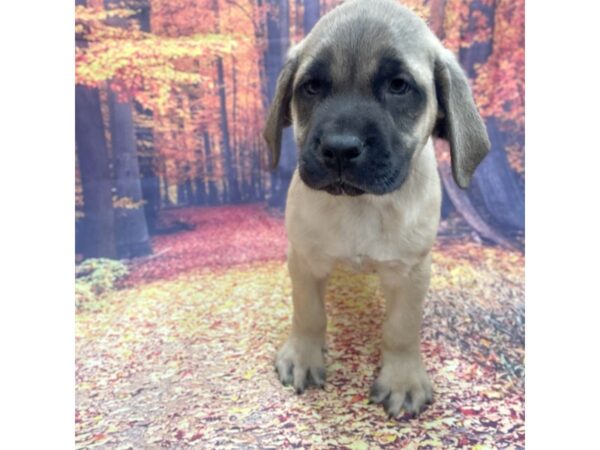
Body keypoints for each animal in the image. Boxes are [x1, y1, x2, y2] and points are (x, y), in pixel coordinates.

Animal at [262, 0, 488, 418]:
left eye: (398, 86)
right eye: (311, 87)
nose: (339, 147)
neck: (360, 205)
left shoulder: (412, 271)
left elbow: (401, 328)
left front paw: (402, 378)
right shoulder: (304, 259)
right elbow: (308, 311)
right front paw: (303, 354)